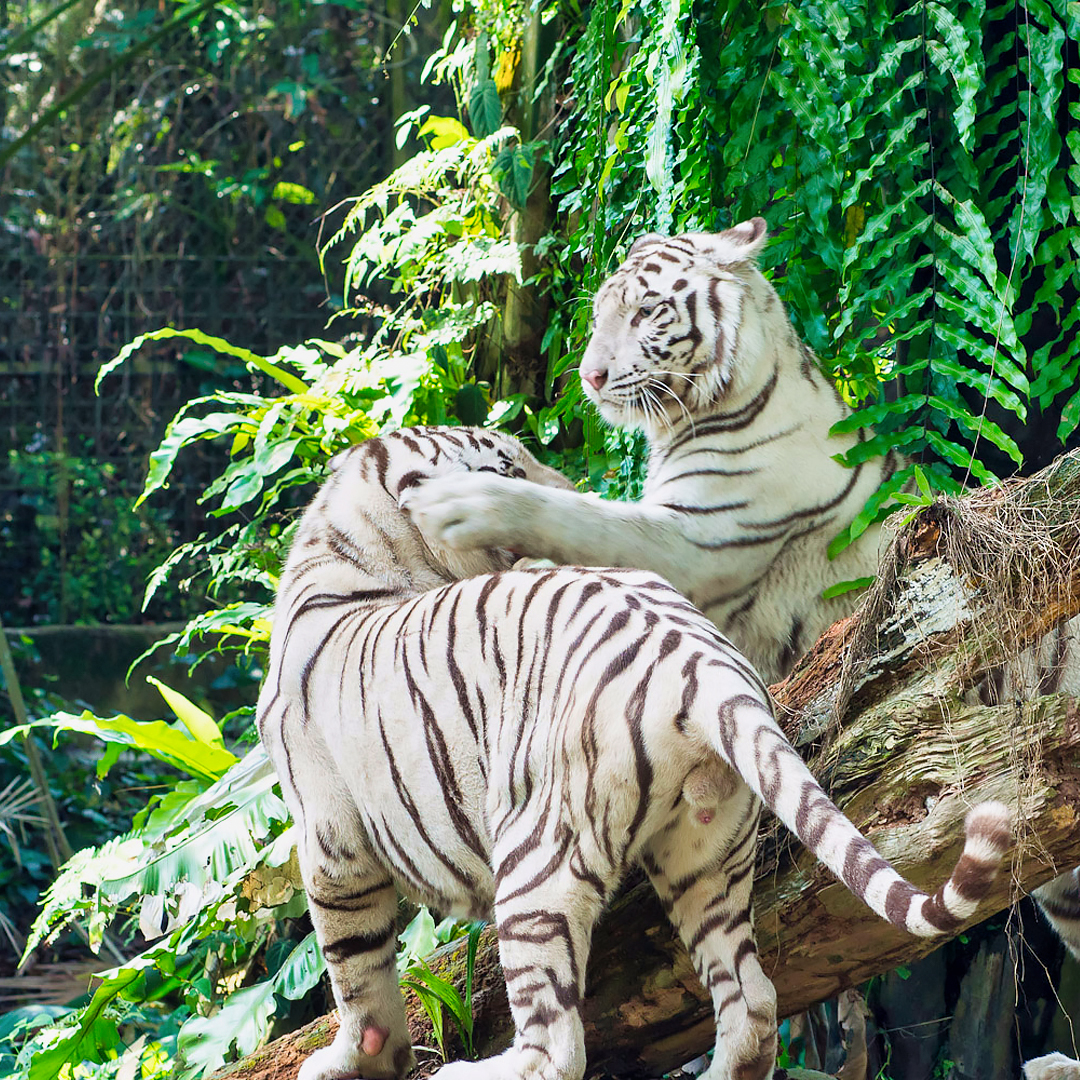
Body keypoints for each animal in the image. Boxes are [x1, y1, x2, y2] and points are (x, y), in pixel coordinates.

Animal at [261, 425, 1010, 1080]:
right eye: (504, 467)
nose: (574, 494)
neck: (348, 546)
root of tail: (701, 662)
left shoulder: (330, 844)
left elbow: (354, 970)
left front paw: (356, 1058)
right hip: (708, 855)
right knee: (753, 1006)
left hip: (537, 858)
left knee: (556, 1048)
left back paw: (471, 1072)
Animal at [403, 214, 1080, 967]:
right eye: (602, 313)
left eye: (645, 311)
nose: (591, 376)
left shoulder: (696, 540)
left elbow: (581, 517)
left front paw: (457, 504)